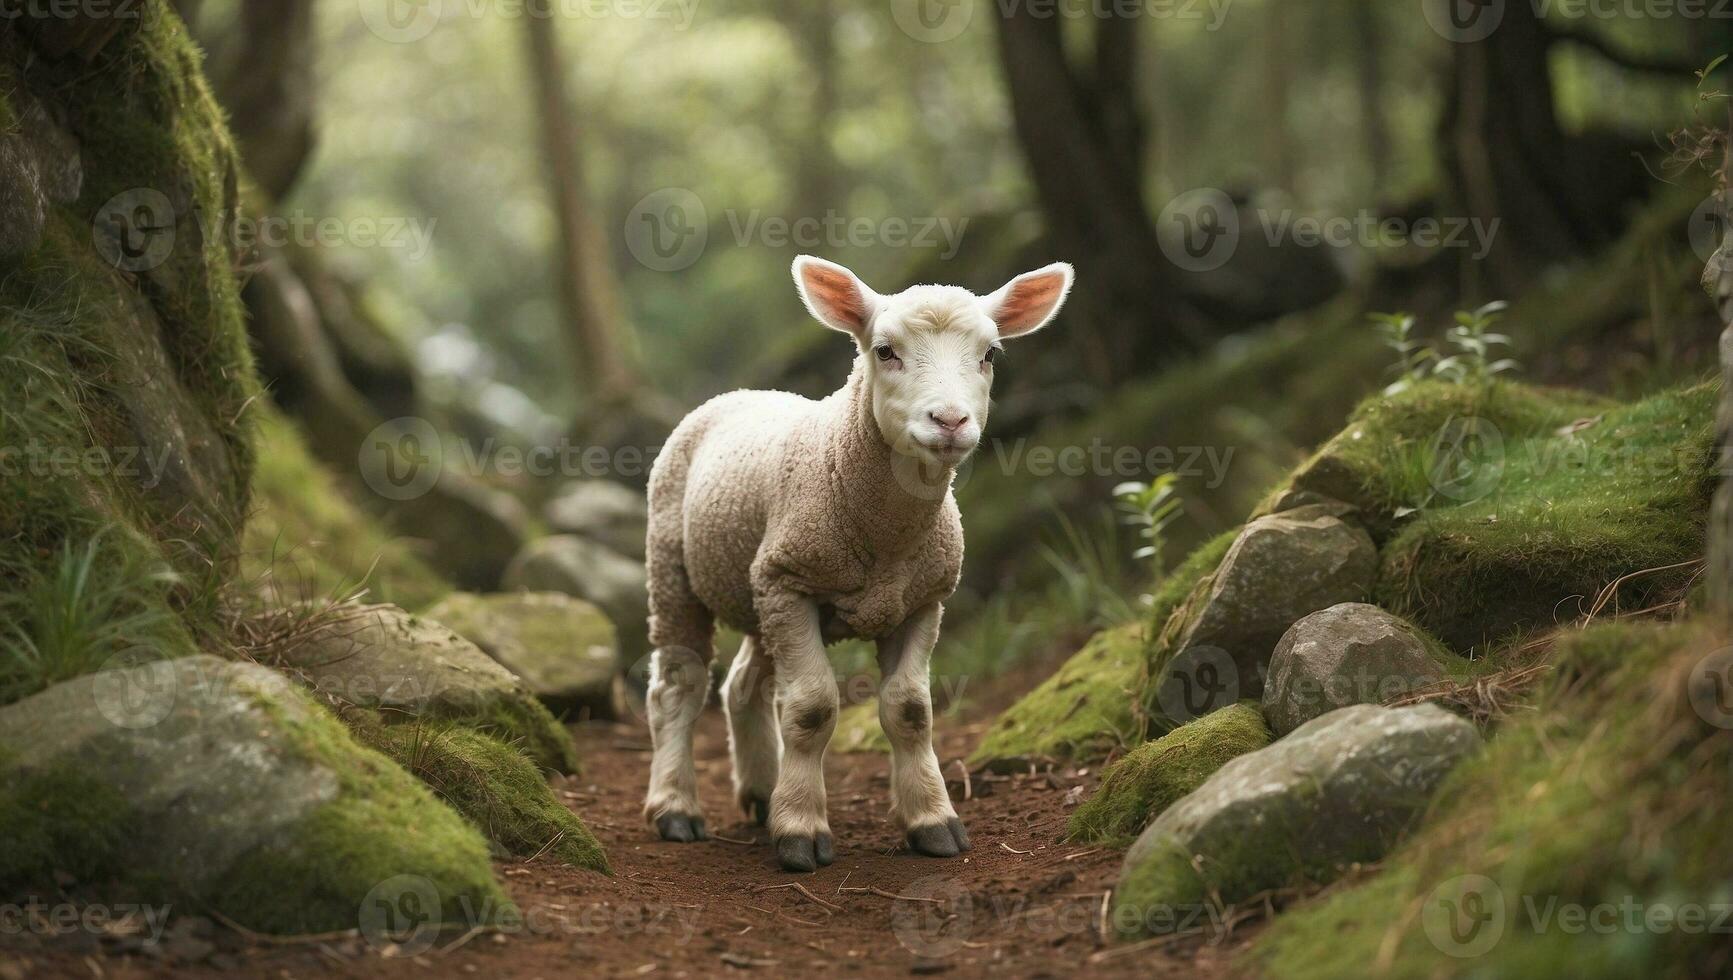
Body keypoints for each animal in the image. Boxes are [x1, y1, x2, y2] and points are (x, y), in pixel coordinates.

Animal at [637, 254, 1067, 870]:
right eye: (884, 351)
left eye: (989, 354)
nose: (950, 421)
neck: (886, 541)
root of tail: (739, 392)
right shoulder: (793, 585)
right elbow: (812, 708)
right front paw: (800, 830)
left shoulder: (923, 598)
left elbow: (911, 710)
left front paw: (933, 821)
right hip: (677, 570)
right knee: (679, 685)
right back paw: (675, 807)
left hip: (758, 583)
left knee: (743, 686)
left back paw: (761, 792)